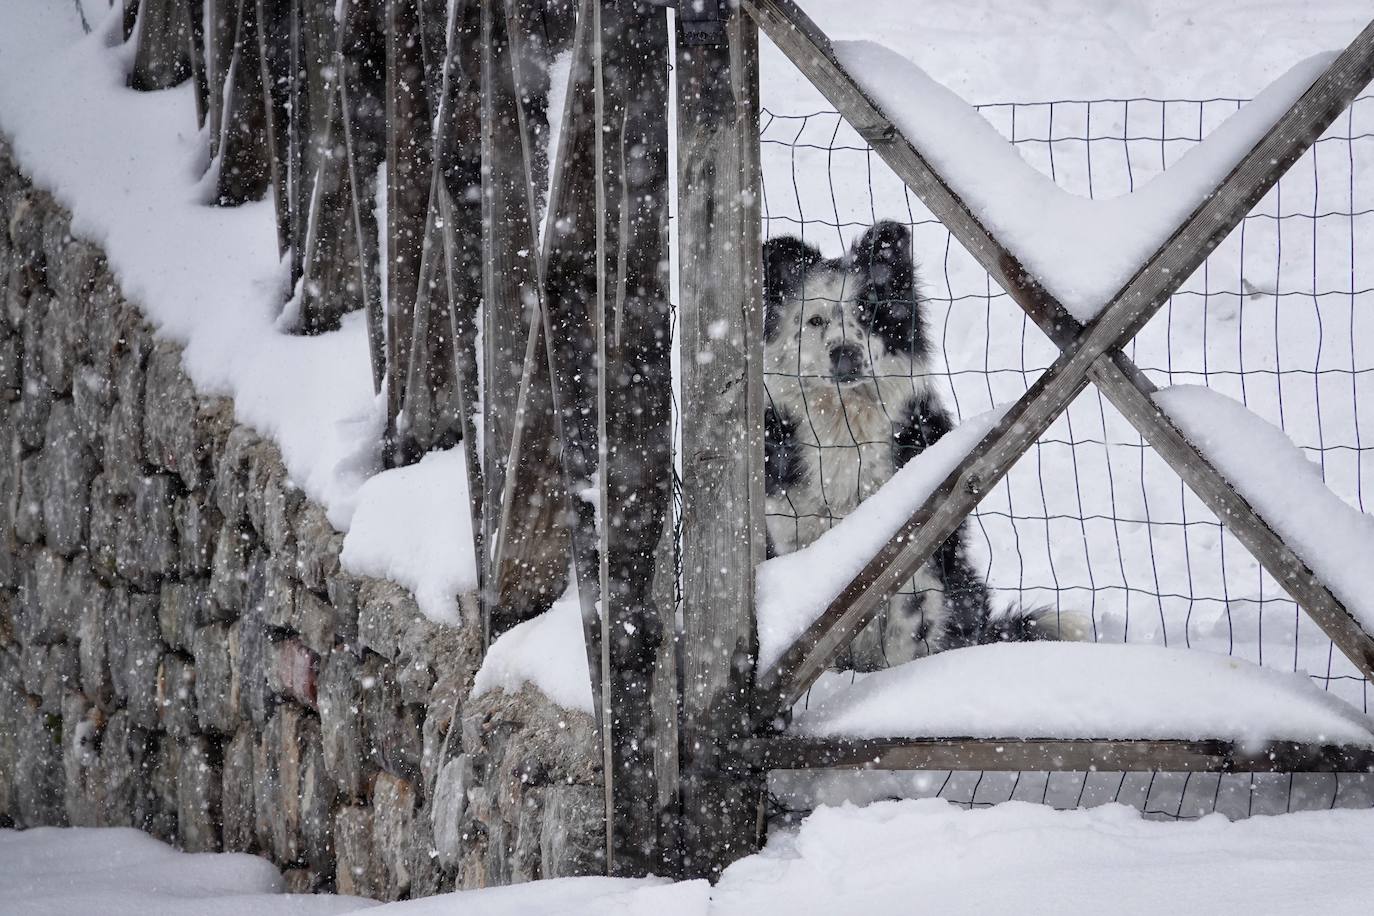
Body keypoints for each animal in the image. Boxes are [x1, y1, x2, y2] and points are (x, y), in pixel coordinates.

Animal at [763, 219, 1071, 670]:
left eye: (868, 310)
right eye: (815, 320)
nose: (845, 353)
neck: (845, 425)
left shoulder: (912, 555)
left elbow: (906, 639)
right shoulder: (791, 536)